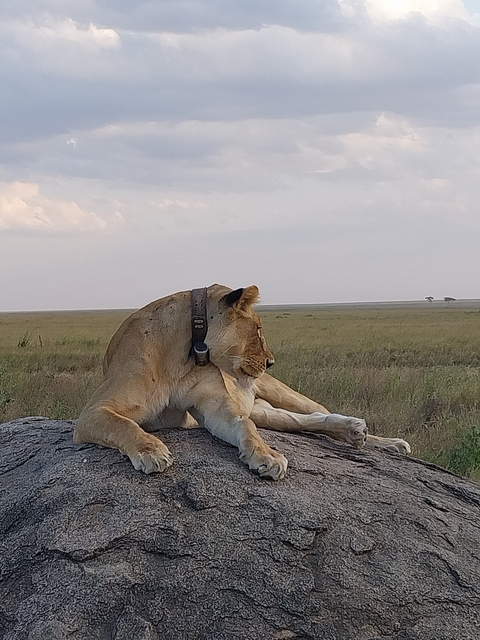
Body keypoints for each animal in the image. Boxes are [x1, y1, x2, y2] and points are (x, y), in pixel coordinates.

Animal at [74, 284, 411, 480]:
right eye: (258, 329)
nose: (271, 362)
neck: (185, 352)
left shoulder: (217, 408)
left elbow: (244, 426)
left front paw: (267, 456)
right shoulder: (93, 412)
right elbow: (124, 424)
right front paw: (151, 450)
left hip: (279, 392)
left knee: (315, 410)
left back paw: (381, 440)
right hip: (266, 411)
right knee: (305, 420)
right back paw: (354, 433)